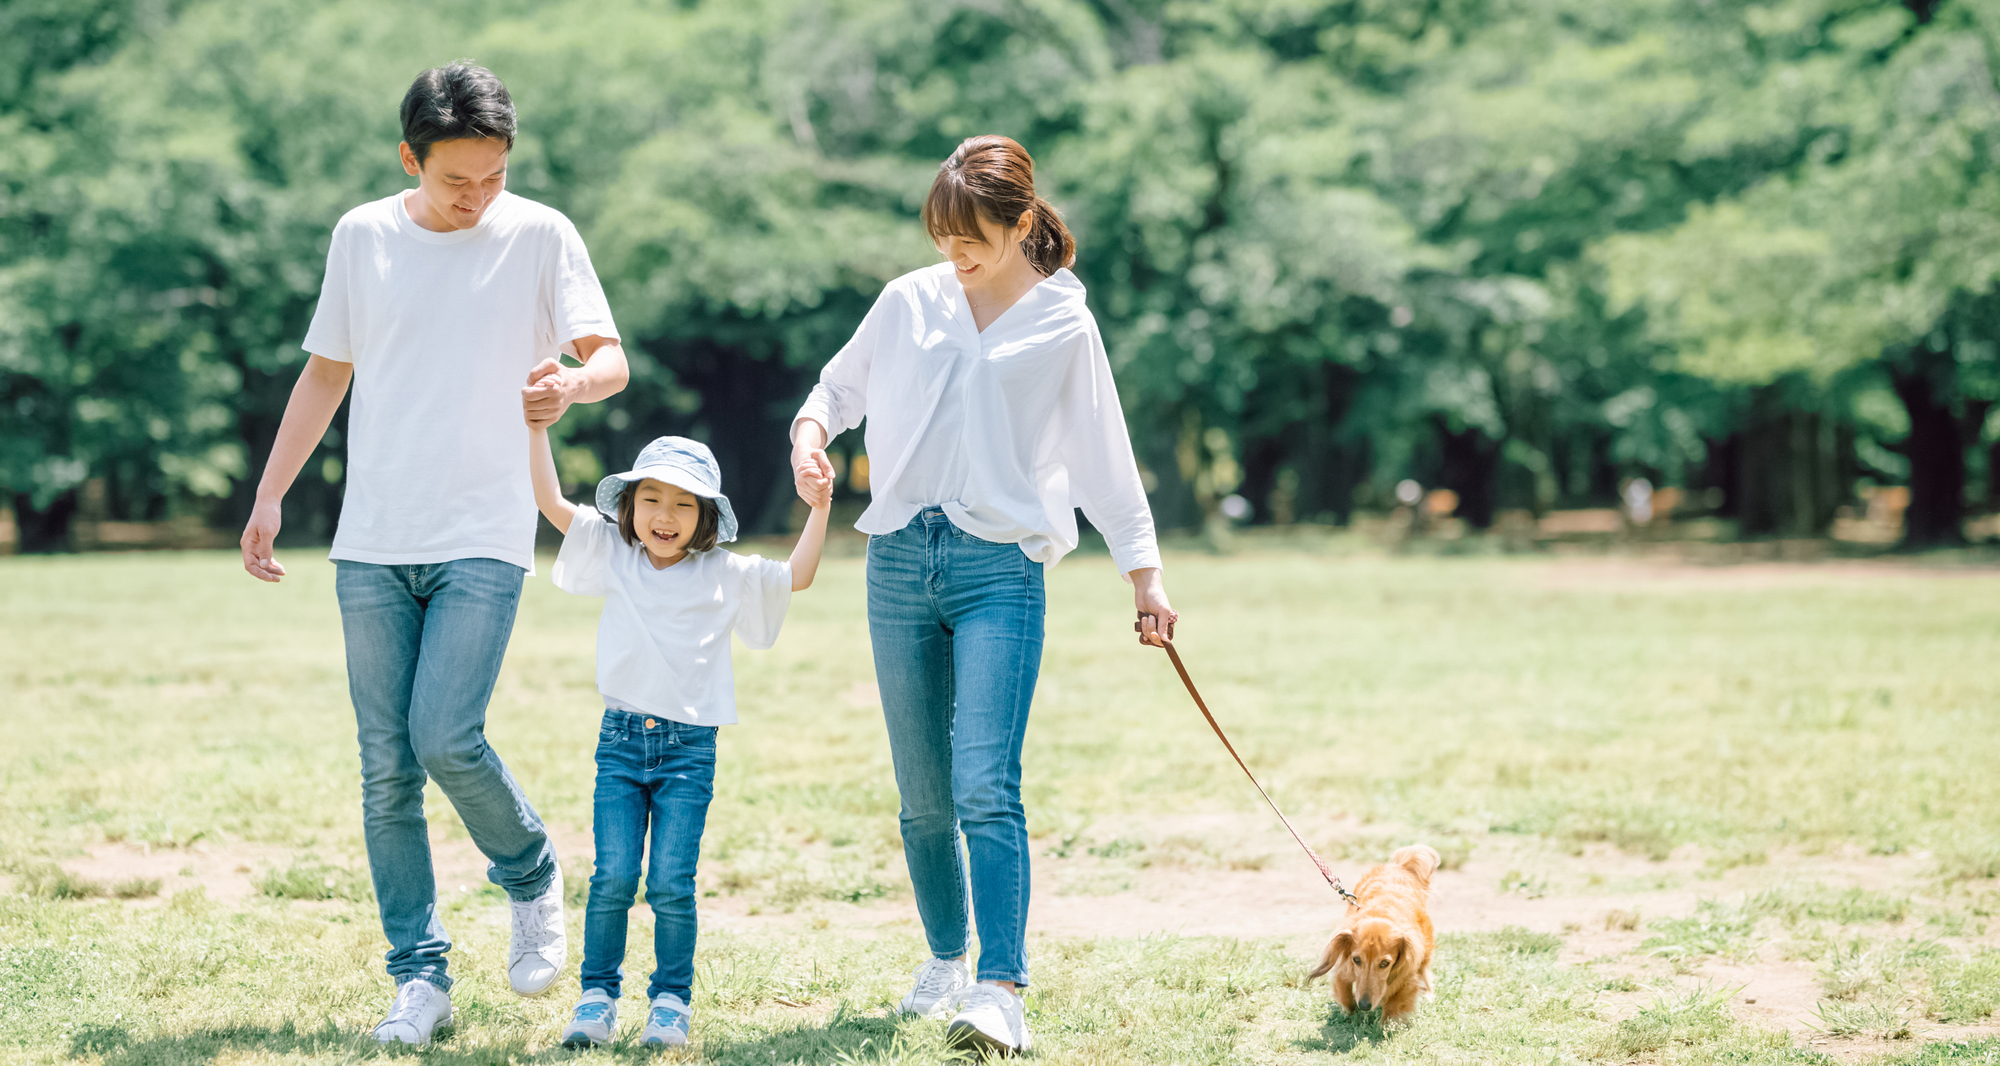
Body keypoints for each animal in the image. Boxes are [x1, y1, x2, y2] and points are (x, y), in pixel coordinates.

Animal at [1312, 840, 1440, 1024]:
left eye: (1385, 963)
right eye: (1356, 960)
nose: (1364, 1005)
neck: (1381, 912)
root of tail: (1398, 866)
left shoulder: (1408, 972)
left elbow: (1395, 1005)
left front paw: (1386, 1025)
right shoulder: (1344, 966)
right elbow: (1346, 996)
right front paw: (1350, 1015)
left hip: (1425, 950)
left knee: (1425, 970)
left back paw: (1428, 994)